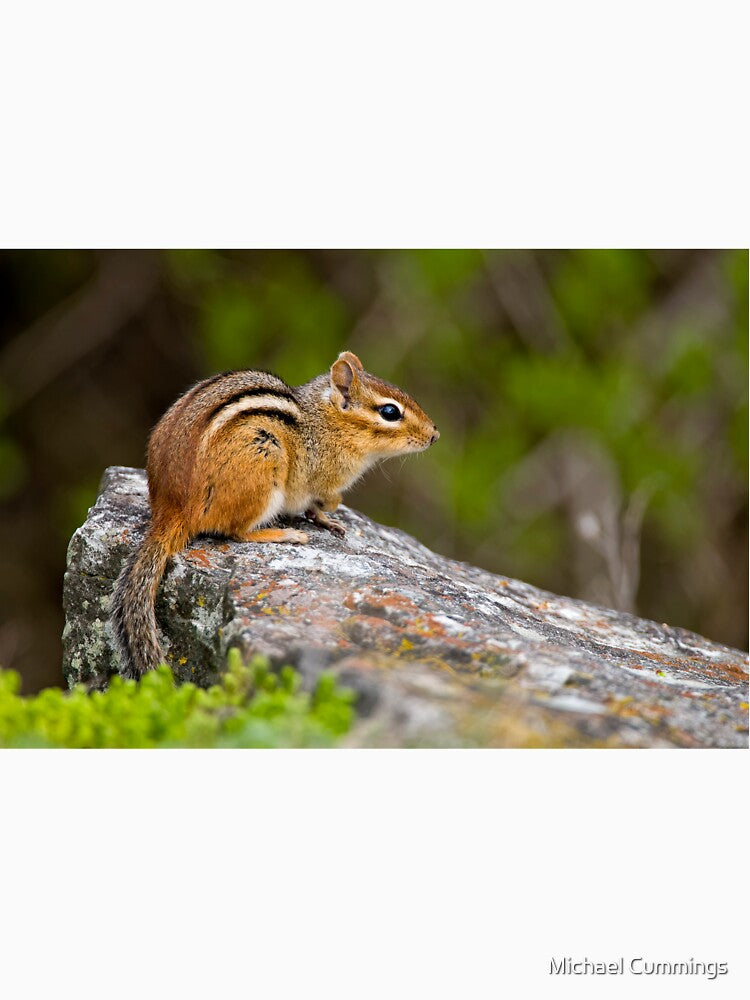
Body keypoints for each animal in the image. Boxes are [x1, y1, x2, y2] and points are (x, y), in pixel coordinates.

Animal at [112, 351, 439, 679]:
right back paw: (285, 534)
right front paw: (329, 511)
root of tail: (170, 508)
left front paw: (327, 520)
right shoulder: (321, 478)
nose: (434, 435)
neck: (327, 421)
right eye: (390, 412)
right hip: (263, 466)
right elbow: (322, 499)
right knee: (236, 532)